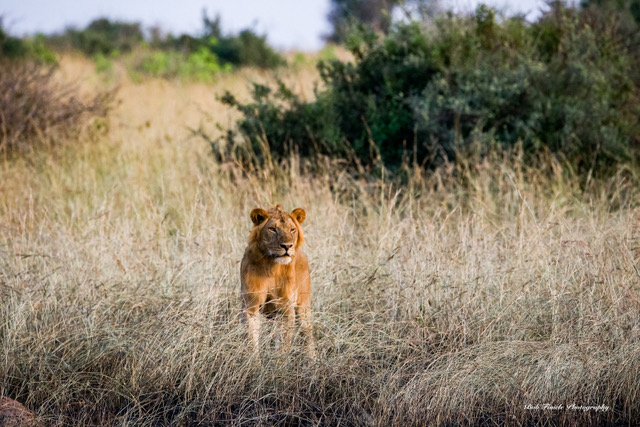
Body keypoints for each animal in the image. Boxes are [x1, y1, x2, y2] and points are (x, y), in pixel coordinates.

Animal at [240, 204, 316, 358]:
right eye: (273, 229)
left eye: (292, 229)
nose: (287, 246)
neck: (271, 266)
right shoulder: (251, 305)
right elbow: (252, 341)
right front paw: (254, 362)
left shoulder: (286, 308)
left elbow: (284, 345)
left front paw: (280, 362)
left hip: (303, 308)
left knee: (308, 337)